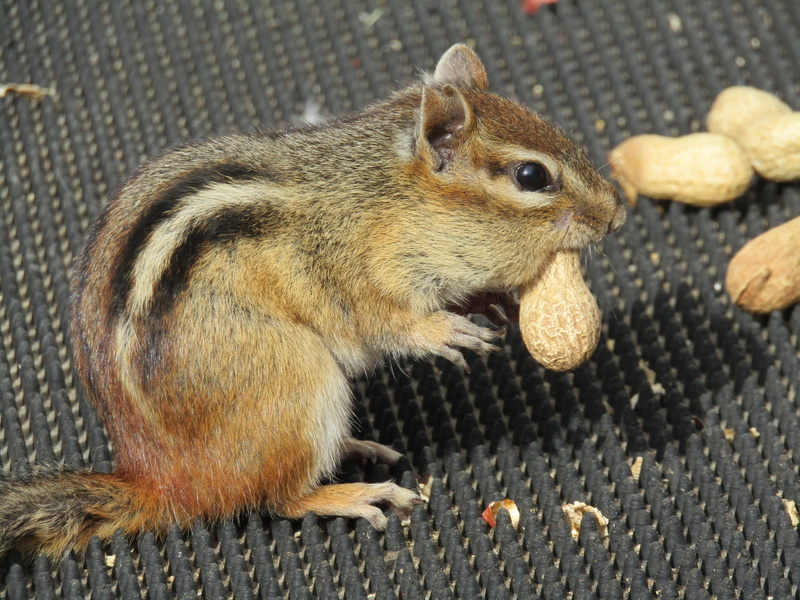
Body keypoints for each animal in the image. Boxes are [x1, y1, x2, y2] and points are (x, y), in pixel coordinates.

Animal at [0, 44, 625, 560]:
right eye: (531, 175)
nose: (616, 214)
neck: (391, 199)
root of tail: (161, 479)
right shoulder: (352, 274)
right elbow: (385, 323)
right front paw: (445, 331)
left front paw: (489, 300)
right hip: (297, 377)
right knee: (278, 497)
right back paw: (350, 494)